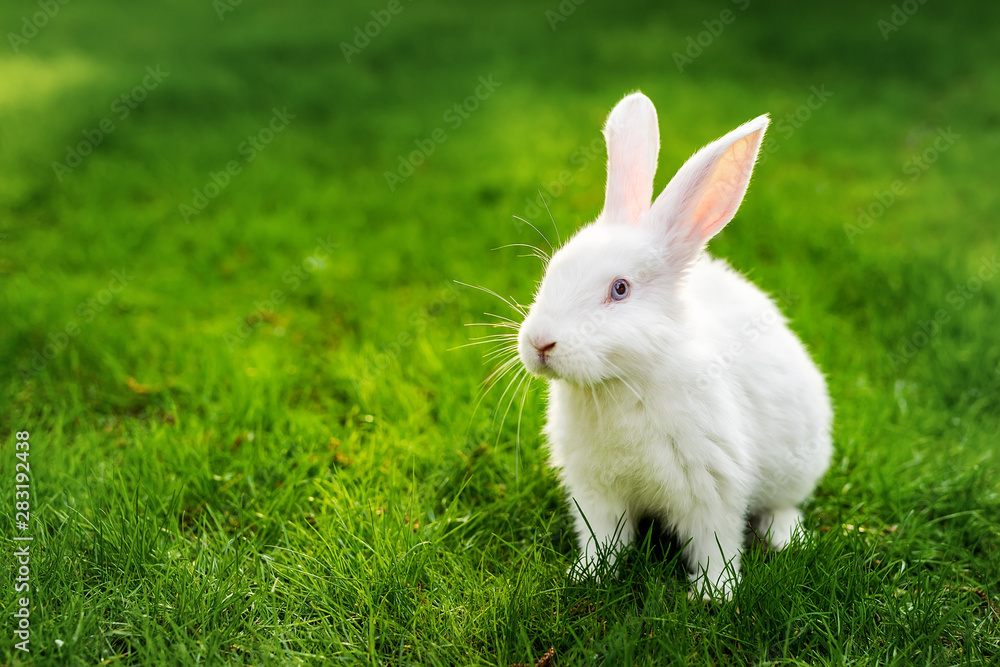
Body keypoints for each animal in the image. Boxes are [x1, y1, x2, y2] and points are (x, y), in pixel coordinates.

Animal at [516, 91, 832, 600]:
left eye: (620, 289)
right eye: (552, 270)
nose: (540, 343)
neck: (622, 382)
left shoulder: (713, 488)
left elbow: (715, 543)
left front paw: (714, 595)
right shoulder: (596, 494)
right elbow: (603, 538)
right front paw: (588, 575)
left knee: (783, 505)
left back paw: (786, 537)